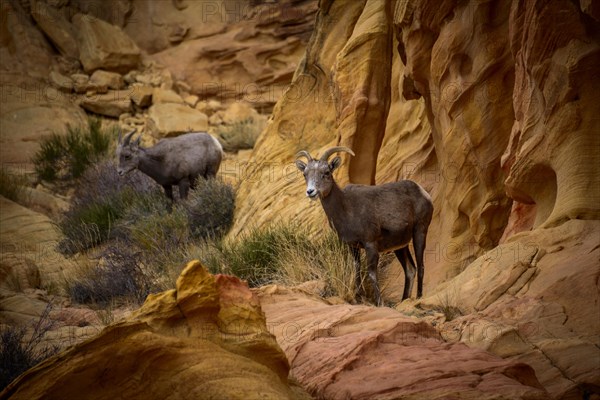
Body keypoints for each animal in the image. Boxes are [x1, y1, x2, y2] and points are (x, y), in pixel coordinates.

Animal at [294, 147, 432, 306]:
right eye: (305, 174)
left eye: (326, 172)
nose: (310, 191)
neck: (346, 209)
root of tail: (423, 193)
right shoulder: (353, 247)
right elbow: (357, 270)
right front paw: (359, 298)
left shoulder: (370, 244)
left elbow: (371, 273)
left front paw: (379, 303)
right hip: (400, 246)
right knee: (410, 269)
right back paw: (404, 300)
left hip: (420, 232)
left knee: (420, 266)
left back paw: (419, 297)